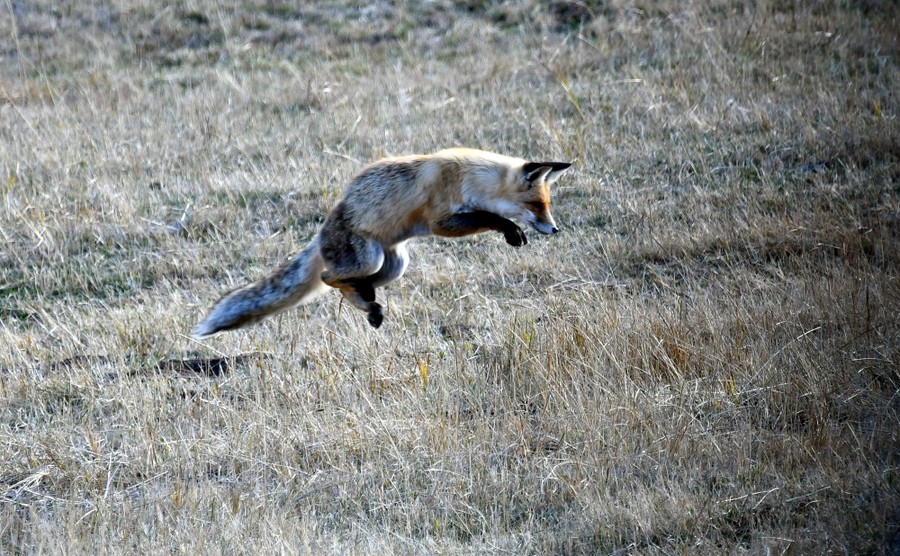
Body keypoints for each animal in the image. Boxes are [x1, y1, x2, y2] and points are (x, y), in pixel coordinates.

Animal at [193, 148, 571, 338]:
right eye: (537, 205)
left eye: (547, 204)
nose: (555, 230)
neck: (470, 177)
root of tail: (321, 232)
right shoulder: (441, 221)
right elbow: (489, 217)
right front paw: (510, 230)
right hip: (368, 259)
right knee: (329, 277)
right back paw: (363, 300)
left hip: (395, 265)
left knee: (353, 283)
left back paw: (368, 304)